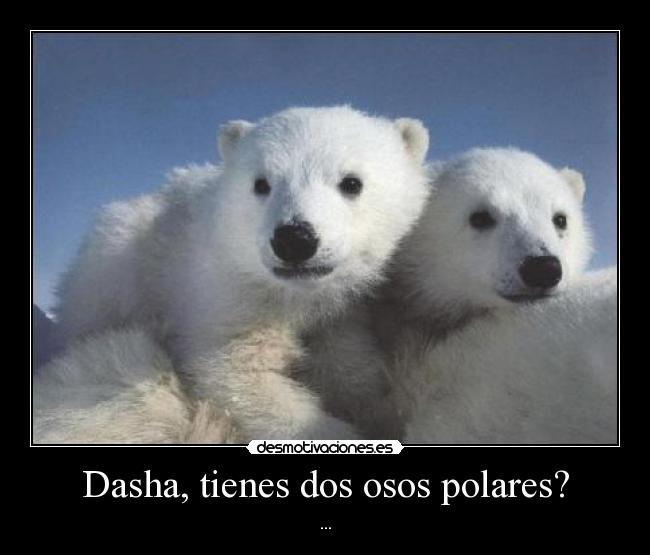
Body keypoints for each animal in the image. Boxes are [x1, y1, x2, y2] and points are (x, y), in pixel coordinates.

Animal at [50, 106, 431, 441]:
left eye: (351, 182)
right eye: (261, 183)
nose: (294, 238)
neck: (293, 295)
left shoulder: (340, 313)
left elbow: (350, 365)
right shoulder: (226, 296)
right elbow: (237, 373)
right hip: (117, 266)